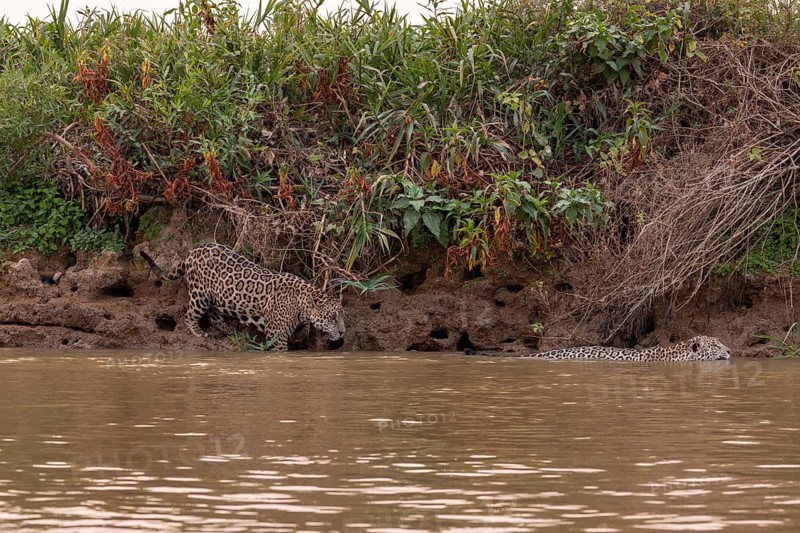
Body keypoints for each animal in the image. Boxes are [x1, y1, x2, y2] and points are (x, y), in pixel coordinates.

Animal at [140, 243, 345, 351]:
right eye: (333, 318)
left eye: (341, 317)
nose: (343, 332)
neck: (302, 303)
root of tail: (193, 250)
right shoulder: (276, 335)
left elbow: (306, 327)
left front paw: (298, 336)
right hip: (201, 294)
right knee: (190, 315)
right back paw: (199, 332)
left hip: (216, 298)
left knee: (213, 315)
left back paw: (229, 330)